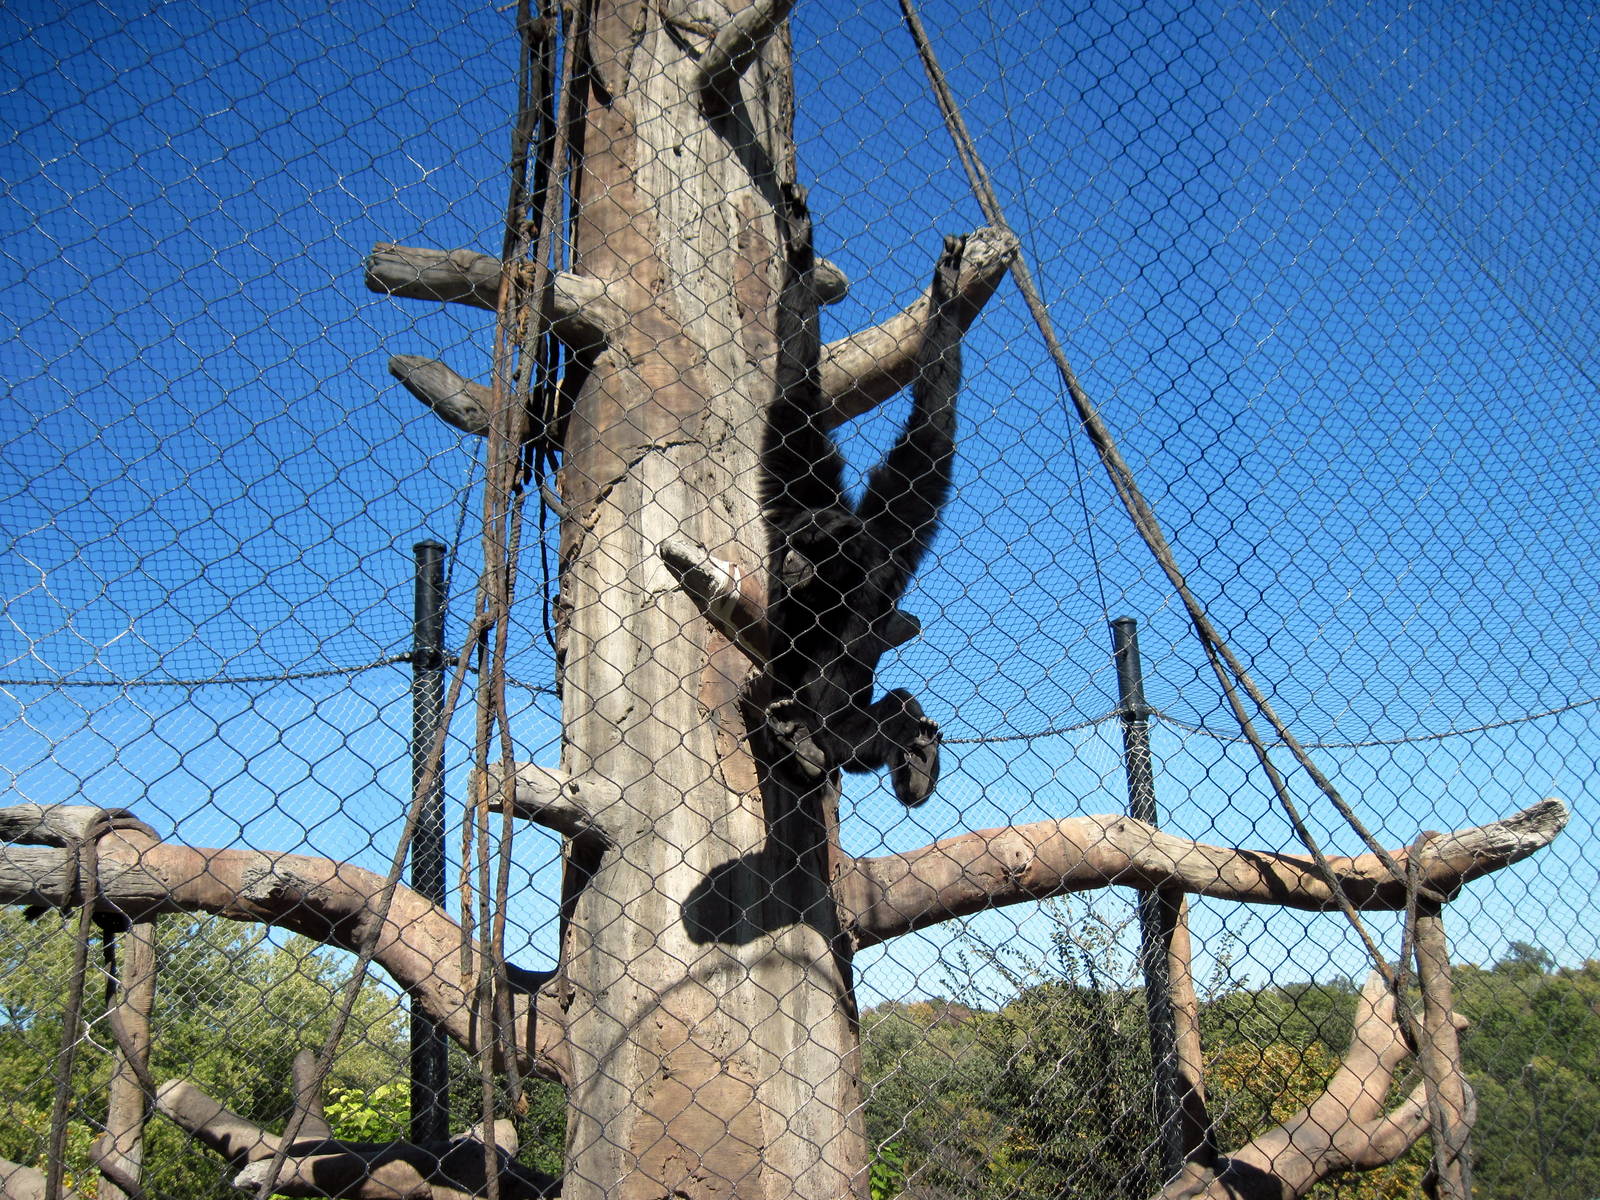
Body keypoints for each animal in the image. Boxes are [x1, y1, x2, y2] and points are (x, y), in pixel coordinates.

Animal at [759, 185, 966, 808]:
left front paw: (947, 293)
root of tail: (834, 749)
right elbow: (794, 399)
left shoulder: (886, 541)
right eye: (792, 542)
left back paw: (915, 760)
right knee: (792, 718)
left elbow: (930, 439)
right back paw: (798, 745)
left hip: (855, 741)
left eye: (811, 546)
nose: (791, 561)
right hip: (817, 733)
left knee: (898, 707)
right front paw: (800, 249)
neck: (839, 588)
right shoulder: (797, 490)